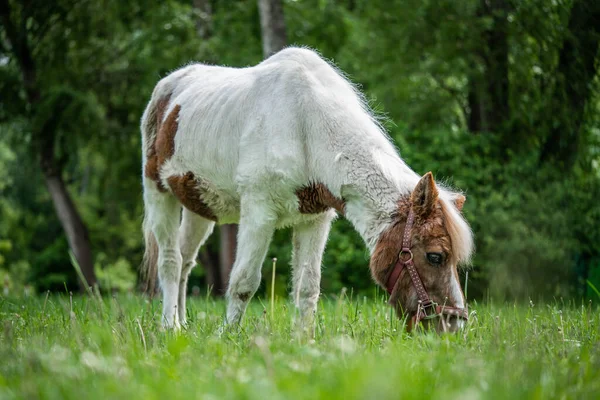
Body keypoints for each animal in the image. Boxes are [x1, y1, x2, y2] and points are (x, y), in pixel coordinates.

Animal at [141, 47, 474, 334]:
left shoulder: (314, 219)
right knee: (170, 262)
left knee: (185, 260)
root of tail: (167, 87)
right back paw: (169, 326)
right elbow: (244, 281)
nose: (453, 325)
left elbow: (307, 287)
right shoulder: (258, 213)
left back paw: (183, 324)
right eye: (435, 256)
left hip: (200, 208)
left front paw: (303, 341)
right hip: (159, 194)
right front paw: (226, 337)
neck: (305, 124)